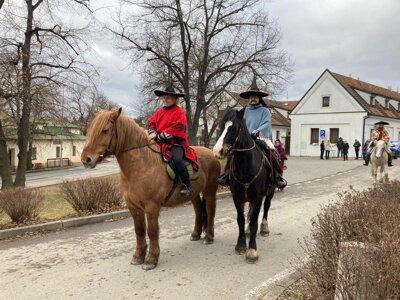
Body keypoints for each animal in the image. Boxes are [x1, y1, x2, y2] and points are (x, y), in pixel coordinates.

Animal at [81, 108, 219, 270]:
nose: (86, 159)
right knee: (198, 210)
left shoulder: (151, 206)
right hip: (194, 194)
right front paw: (138, 256)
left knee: (210, 211)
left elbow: (152, 231)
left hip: (210, 190)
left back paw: (209, 237)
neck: (141, 165)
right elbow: (139, 230)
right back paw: (196, 234)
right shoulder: (133, 207)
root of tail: (211, 153)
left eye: (105, 130)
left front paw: (151, 259)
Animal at [212, 108, 276, 262]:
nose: (217, 151)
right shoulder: (237, 197)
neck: (246, 167)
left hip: (270, 191)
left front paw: (252, 250)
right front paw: (241, 245)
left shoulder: (258, 197)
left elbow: (254, 222)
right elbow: (241, 220)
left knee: (266, 208)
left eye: (234, 127)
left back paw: (264, 228)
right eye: (220, 127)